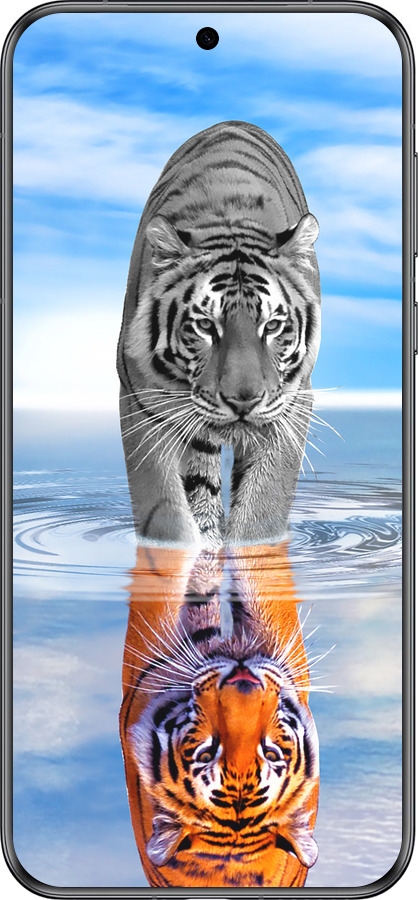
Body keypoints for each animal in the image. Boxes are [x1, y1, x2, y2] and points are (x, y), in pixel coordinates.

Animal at [117, 120, 321, 549]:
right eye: (205, 326)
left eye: (272, 326)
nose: (243, 400)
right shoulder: (141, 401)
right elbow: (165, 512)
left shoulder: (292, 404)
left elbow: (263, 509)